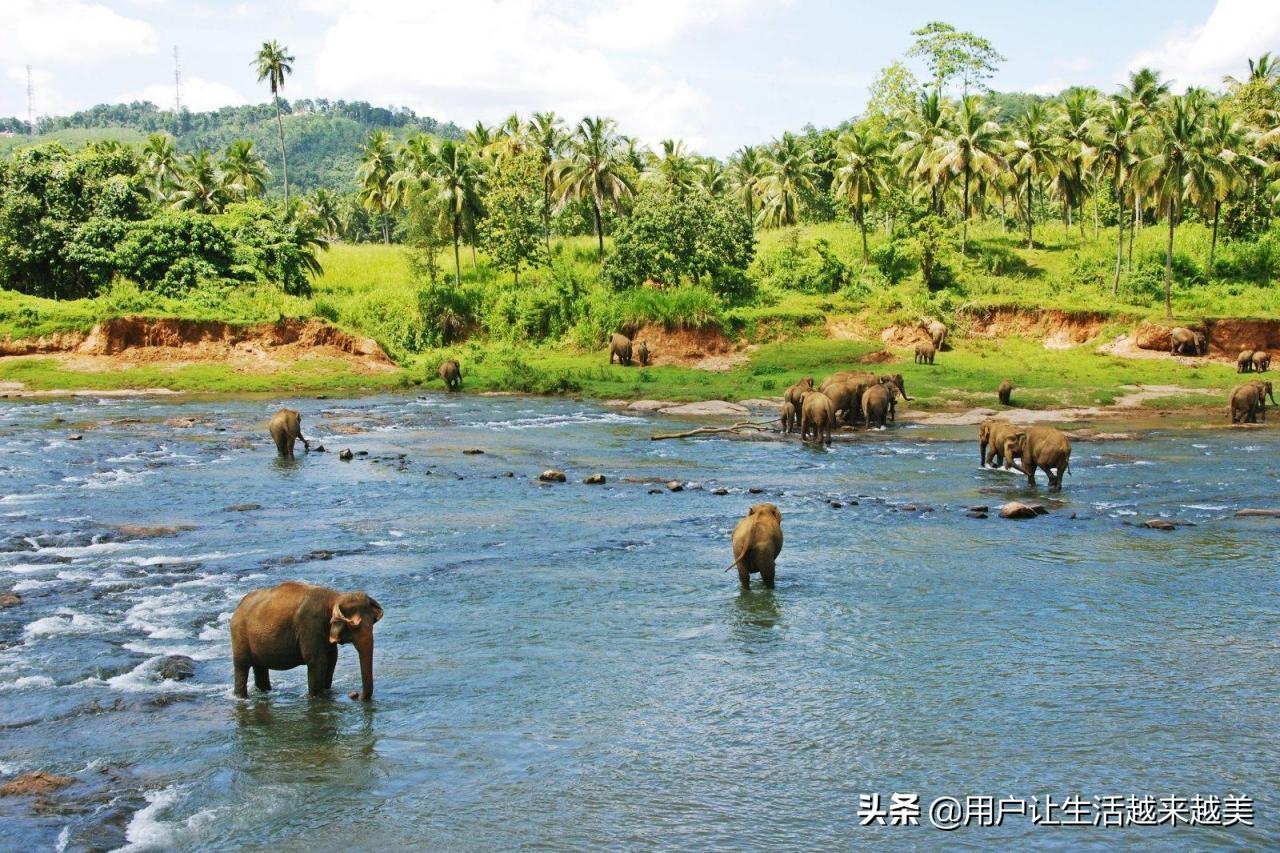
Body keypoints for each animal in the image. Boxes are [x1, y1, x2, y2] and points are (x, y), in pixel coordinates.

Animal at [230, 578, 381, 701]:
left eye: (372, 623)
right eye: (355, 627)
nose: (354, 694)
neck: (335, 597)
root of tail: (239, 605)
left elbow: (332, 658)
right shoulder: (310, 625)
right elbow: (317, 660)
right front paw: (315, 697)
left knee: (260, 667)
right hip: (239, 634)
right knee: (242, 665)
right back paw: (241, 697)